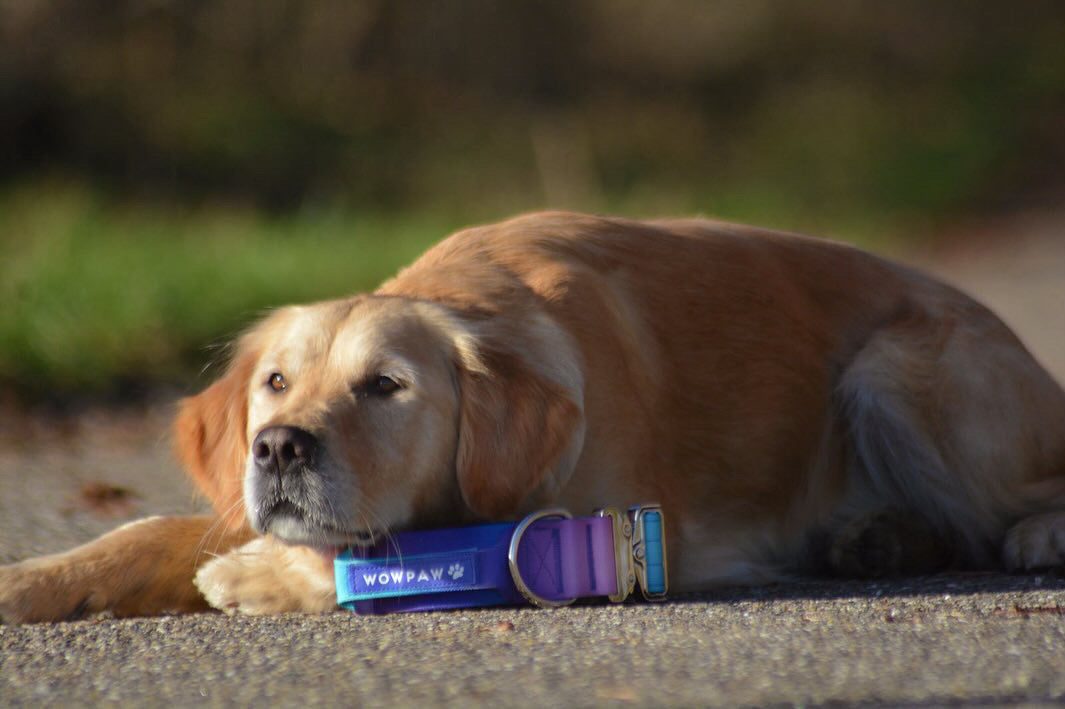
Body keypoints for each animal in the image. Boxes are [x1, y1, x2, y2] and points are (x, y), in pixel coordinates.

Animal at [2, 212, 1065, 621]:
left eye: (385, 385)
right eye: (273, 382)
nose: (277, 448)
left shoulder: (599, 536)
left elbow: (377, 556)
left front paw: (256, 574)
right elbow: (146, 529)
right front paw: (33, 578)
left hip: (897, 367)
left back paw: (1029, 531)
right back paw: (874, 535)